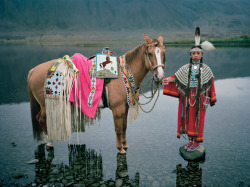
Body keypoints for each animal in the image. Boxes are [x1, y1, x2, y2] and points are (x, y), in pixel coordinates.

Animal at [27, 33, 166, 153]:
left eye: (164, 53)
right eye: (149, 53)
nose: (159, 76)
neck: (123, 75)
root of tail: (34, 70)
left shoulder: (125, 107)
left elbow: (124, 126)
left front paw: (125, 144)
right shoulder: (117, 109)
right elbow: (118, 129)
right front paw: (120, 148)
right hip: (45, 104)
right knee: (40, 119)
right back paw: (49, 142)